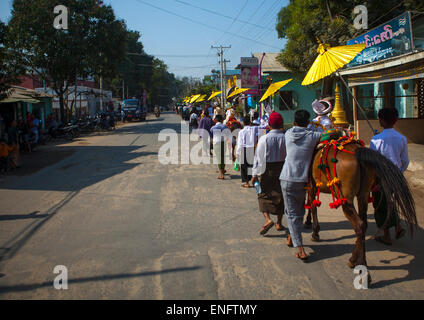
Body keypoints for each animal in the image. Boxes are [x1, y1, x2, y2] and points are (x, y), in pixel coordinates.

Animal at [304, 141, 418, 274]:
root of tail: (358, 152)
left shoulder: (311, 186)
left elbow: (312, 206)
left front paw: (314, 232)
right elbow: (310, 204)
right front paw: (309, 224)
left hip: (346, 199)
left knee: (359, 225)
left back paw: (358, 261)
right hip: (363, 195)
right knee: (363, 225)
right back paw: (357, 260)